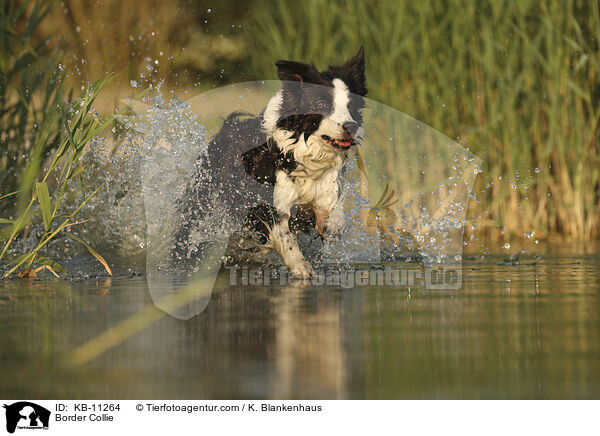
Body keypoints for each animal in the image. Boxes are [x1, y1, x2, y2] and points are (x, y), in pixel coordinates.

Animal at [175, 47, 366, 280]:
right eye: (320, 104)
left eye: (351, 106)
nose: (351, 126)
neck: (302, 155)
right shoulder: (265, 202)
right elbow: (283, 234)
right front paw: (300, 265)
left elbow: (336, 211)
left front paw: (333, 225)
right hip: (204, 201)